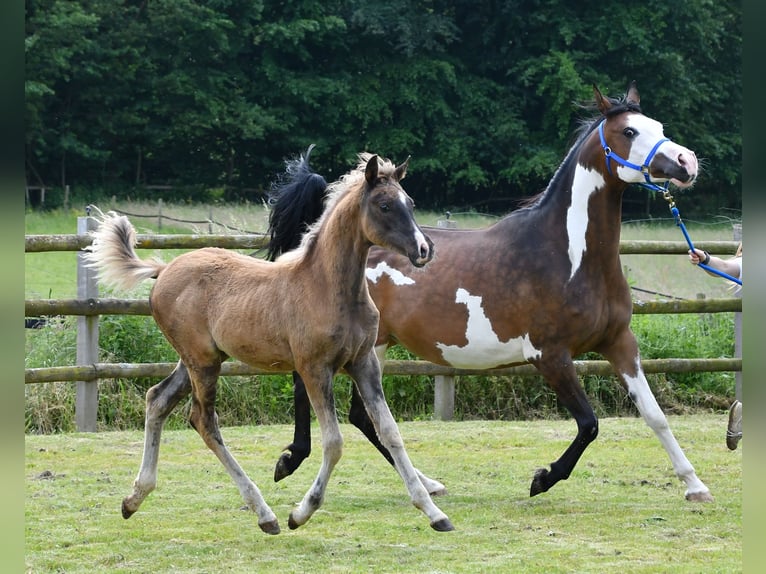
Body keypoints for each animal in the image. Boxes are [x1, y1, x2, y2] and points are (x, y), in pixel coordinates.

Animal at [83, 154, 460, 536]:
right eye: (384, 206)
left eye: (410, 203)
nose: (424, 250)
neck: (327, 287)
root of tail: (163, 269)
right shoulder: (314, 368)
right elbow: (334, 442)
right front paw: (301, 512)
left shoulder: (363, 362)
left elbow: (390, 431)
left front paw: (434, 512)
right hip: (203, 362)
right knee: (203, 420)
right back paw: (265, 514)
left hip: (196, 360)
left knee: (157, 400)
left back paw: (134, 499)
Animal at [268, 83, 712, 506]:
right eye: (629, 131)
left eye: (659, 127)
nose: (687, 162)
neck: (567, 255)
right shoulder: (549, 355)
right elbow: (589, 424)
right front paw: (543, 479)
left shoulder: (619, 342)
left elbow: (654, 414)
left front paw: (695, 485)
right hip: (358, 342)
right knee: (310, 385)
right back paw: (291, 459)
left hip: (375, 345)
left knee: (364, 416)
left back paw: (428, 484)